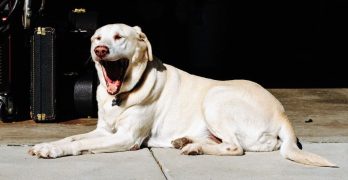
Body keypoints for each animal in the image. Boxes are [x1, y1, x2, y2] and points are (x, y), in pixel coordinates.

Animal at [29, 23, 338, 167]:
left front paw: (54, 151)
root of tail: (282, 113)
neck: (125, 92)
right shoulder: (104, 129)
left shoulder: (126, 138)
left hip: (216, 97)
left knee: (235, 147)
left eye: (119, 37)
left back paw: (193, 147)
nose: (99, 50)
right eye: (97, 38)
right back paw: (186, 141)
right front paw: (46, 144)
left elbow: (79, 144)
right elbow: (72, 137)